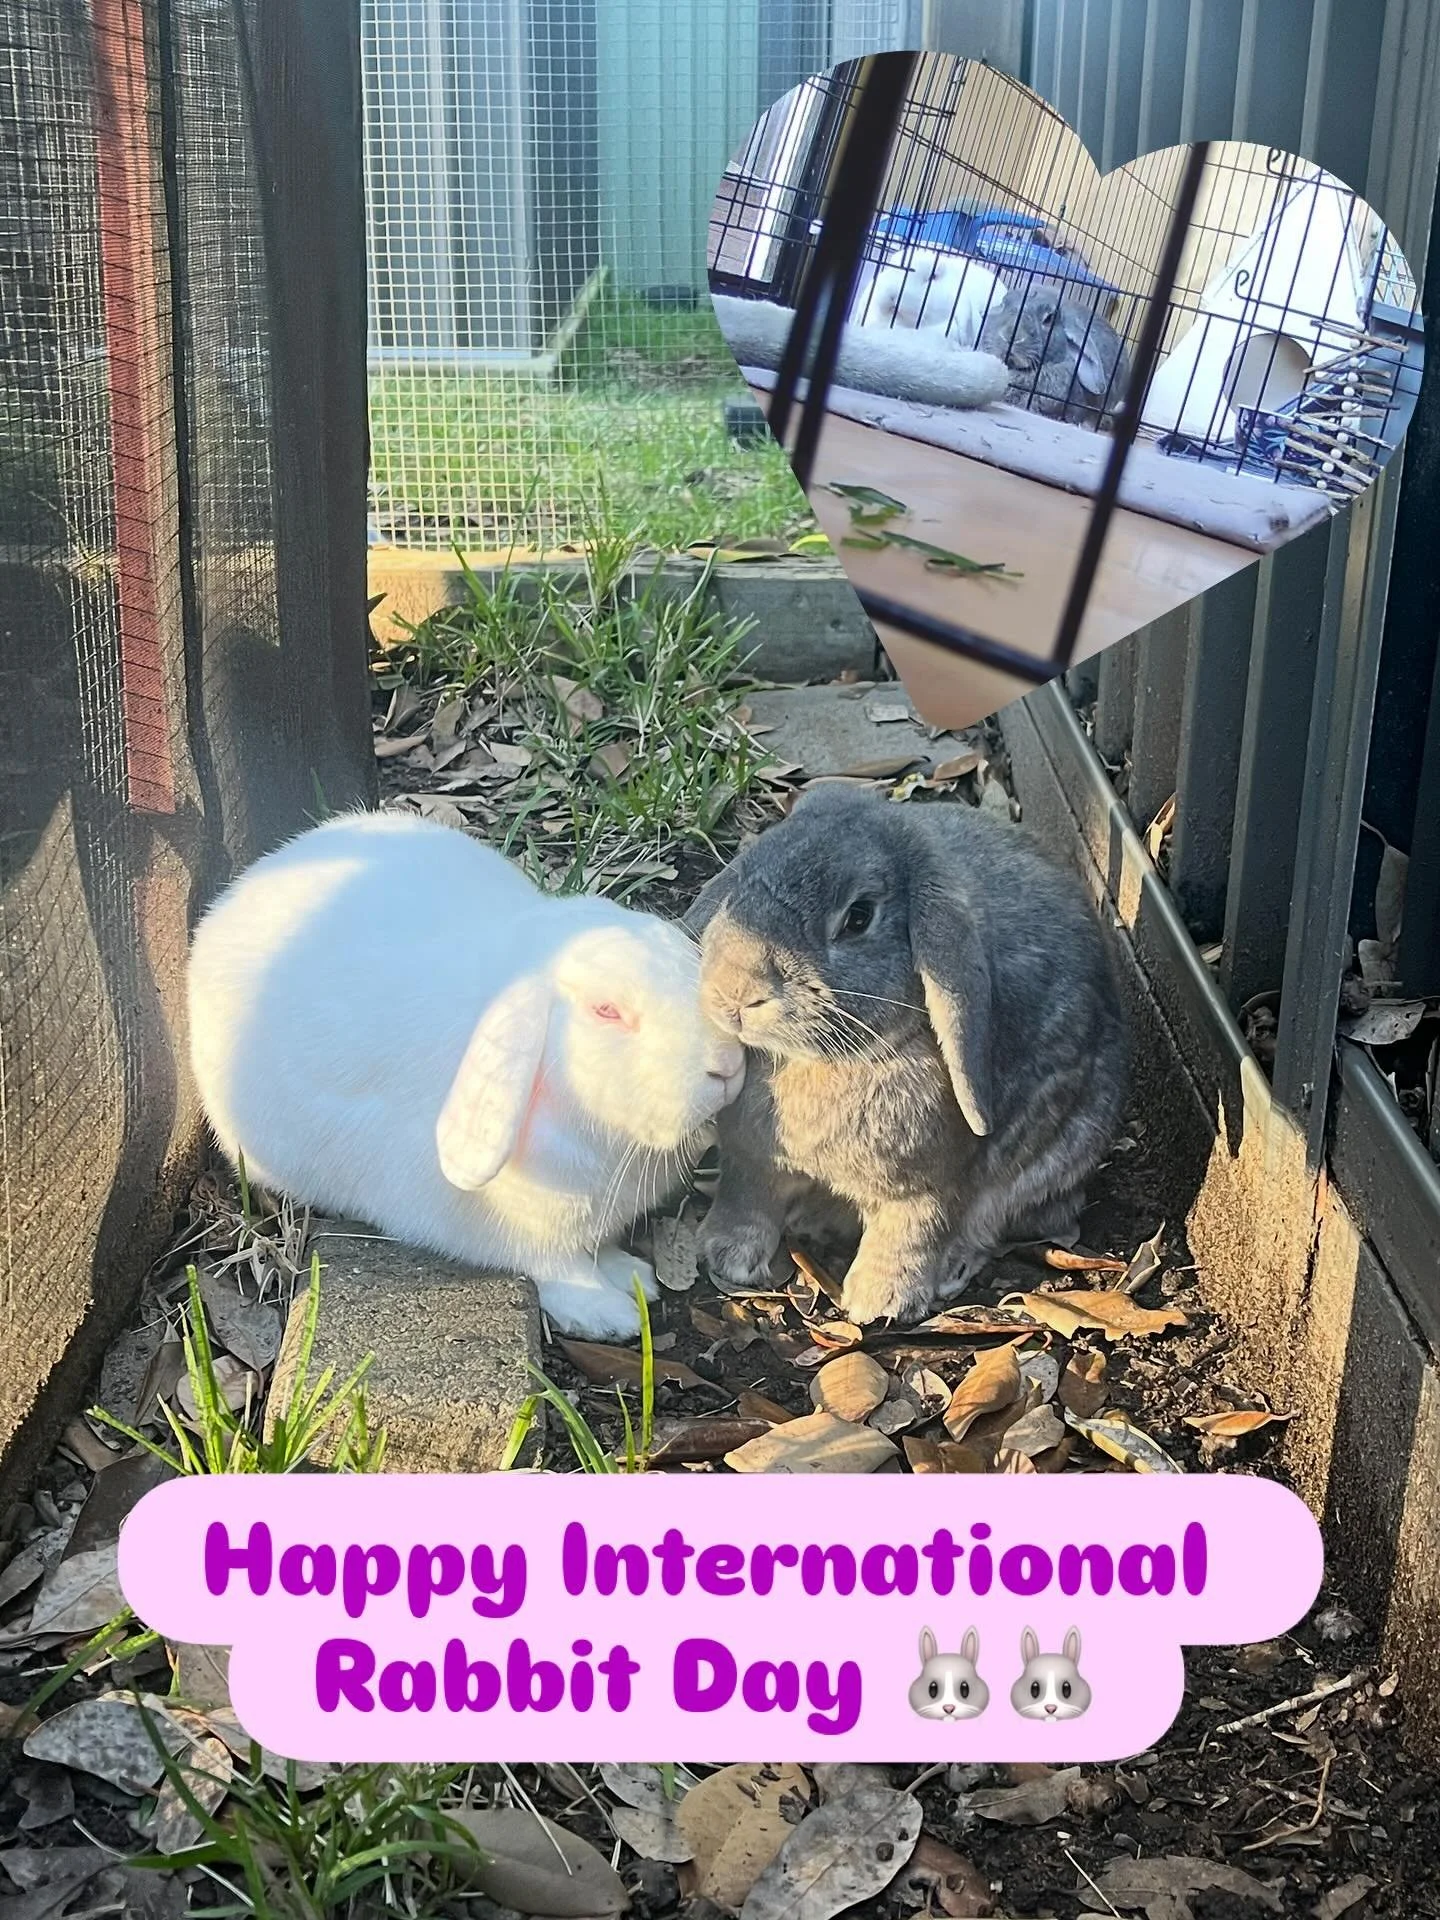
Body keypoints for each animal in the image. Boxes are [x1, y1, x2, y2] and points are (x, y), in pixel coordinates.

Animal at [186, 810, 745, 1340]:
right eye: (606, 1011)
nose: (728, 1065)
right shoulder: (528, 1236)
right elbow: (560, 1268)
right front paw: (605, 1314)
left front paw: (633, 1276)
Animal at [683, 783, 1128, 1327]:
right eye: (742, 884)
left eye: (858, 918)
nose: (736, 993)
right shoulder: (754, 1163)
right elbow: (747, 1199)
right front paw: (724, 1253)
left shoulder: (929, 1187)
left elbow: (912, 1230)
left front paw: (882, 1301)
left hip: (1054, 1158)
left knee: (992, 1221)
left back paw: (949, 1266)